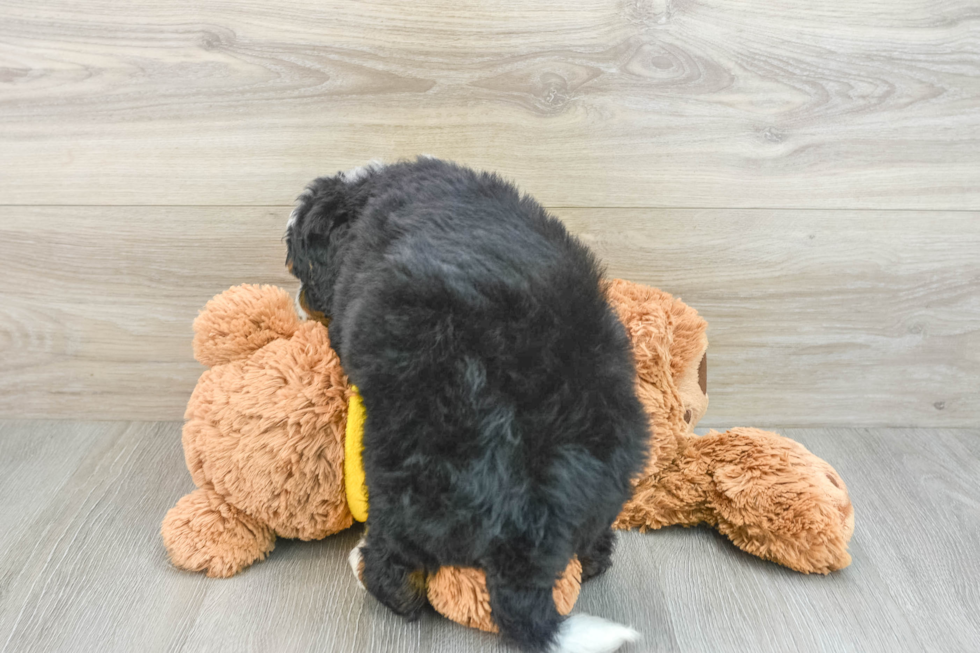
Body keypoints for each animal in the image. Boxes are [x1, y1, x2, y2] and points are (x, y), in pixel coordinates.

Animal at [288, 158, 648, 652]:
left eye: (303, 268)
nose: (298, 302)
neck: (365, 197)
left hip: (401, 470)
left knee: (395, 570)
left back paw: (370, 571)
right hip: (614, 456)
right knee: (594, 543)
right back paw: (593, 557)